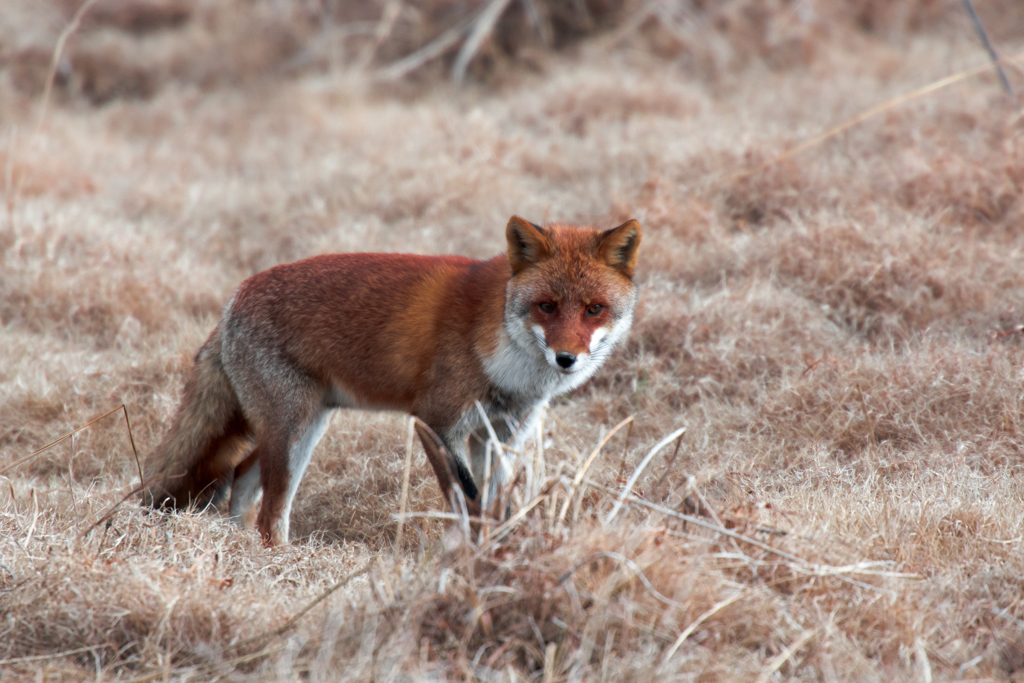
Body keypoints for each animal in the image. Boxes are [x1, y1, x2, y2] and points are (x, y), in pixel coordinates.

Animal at [143, 216, 638, 548]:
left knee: (241, 478)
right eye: (546, 306)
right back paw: (277, 561)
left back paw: (239, 550)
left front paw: (501, 555)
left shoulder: (501, 433)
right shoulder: (436, 421)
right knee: (269, 513)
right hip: (293, 431)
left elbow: (499, 507)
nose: (566, 359)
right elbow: (469, 501)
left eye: (594, 309)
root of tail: (234, 298)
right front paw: (476, 561)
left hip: (303, 429)